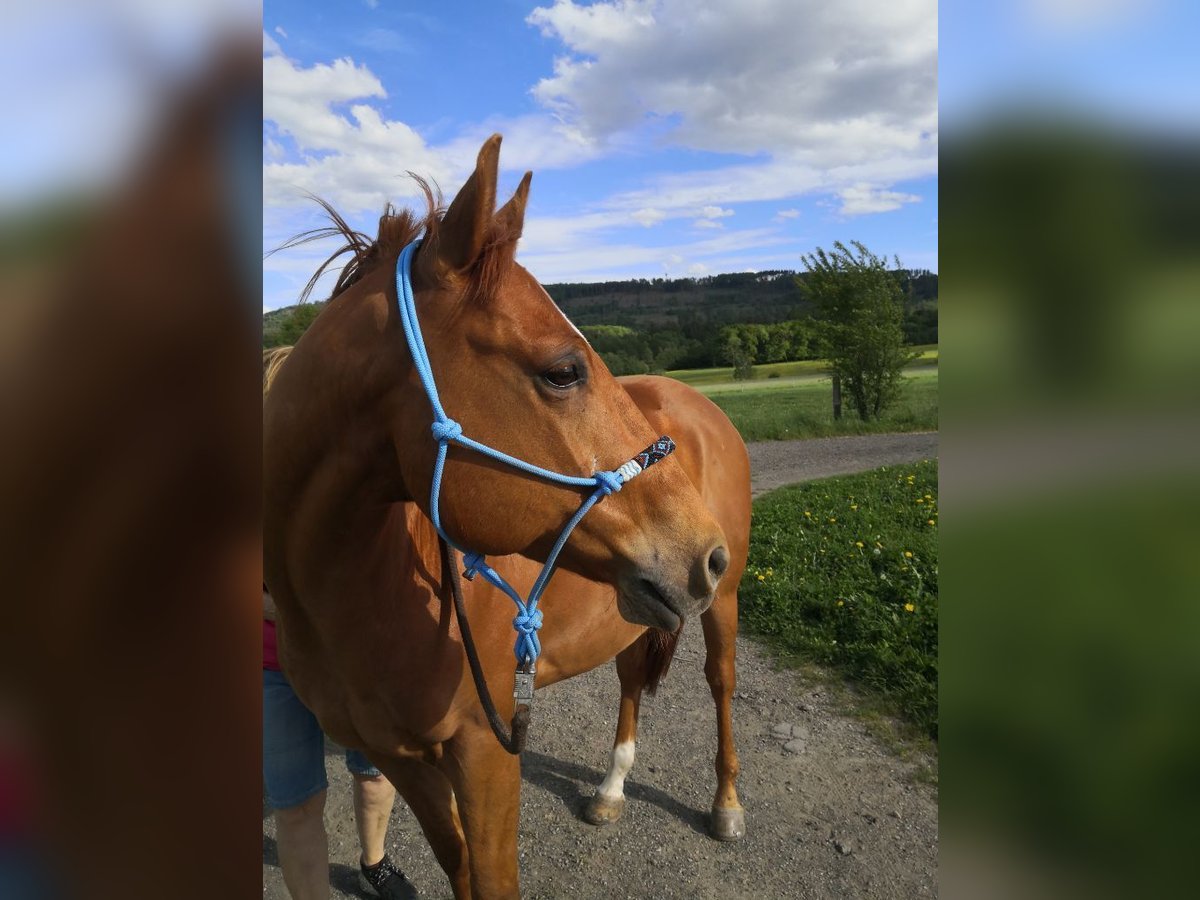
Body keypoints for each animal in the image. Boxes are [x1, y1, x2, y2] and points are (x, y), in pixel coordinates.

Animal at [266, 135, 744, 900]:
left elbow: (492, 877)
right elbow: (457, 864)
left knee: (721, 684)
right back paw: (610, 790)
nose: (705, 552)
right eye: (563, 371)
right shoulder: (398, 756)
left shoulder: (485, 753)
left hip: (721, 605)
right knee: (630, 680)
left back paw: (726, 805)